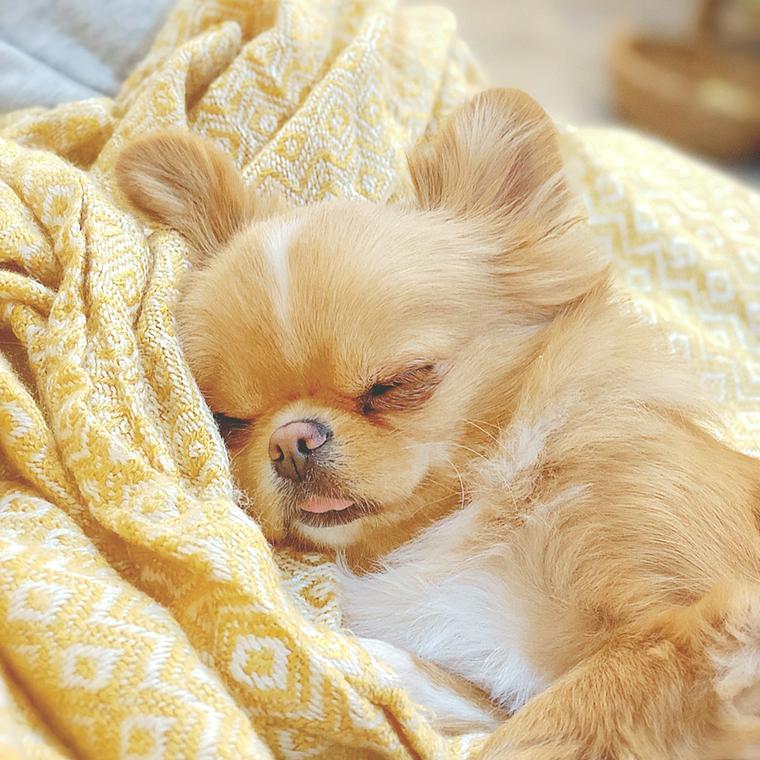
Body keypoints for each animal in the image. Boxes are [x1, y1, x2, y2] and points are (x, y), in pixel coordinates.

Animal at [116, 89, 760, 759]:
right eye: (231, 419)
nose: (290, 441)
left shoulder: (706, 624)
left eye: (398, 382)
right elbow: (476, 704)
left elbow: (541, 728)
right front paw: (351, 660)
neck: (472, 507)